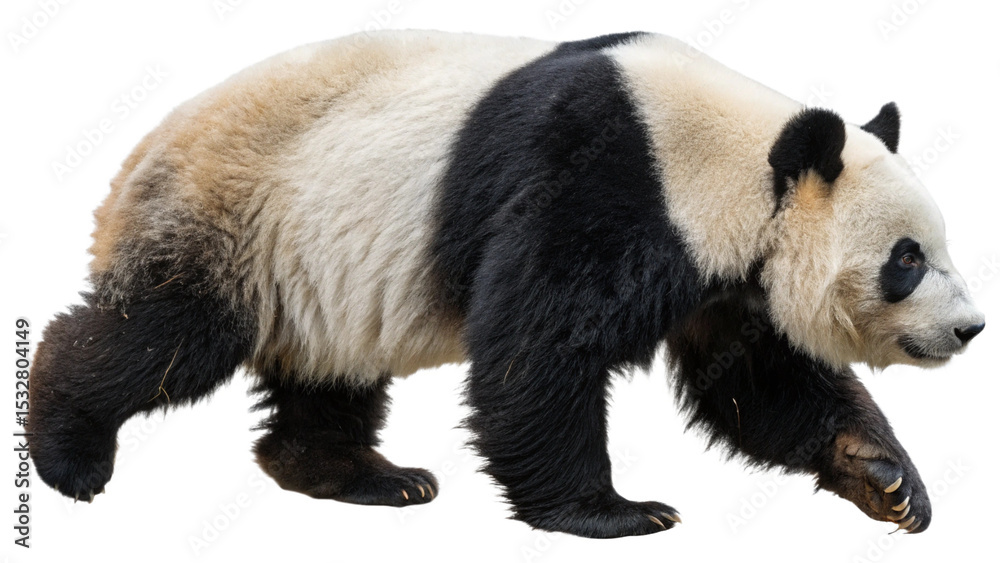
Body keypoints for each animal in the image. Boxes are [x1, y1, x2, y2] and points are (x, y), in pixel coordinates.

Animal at [27, 30, 985, 539]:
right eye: (907, 257)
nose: (970, 329)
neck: (734, 156)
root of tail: (136, 159)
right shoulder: (603, 182)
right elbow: (538, 348)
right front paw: (615, 512)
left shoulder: (723, 273)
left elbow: (761, 381)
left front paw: (888, 478)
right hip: (233, 213)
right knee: (164, 334)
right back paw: (69, 453)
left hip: (308, 261)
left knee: (326, 372)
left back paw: (363, 476)